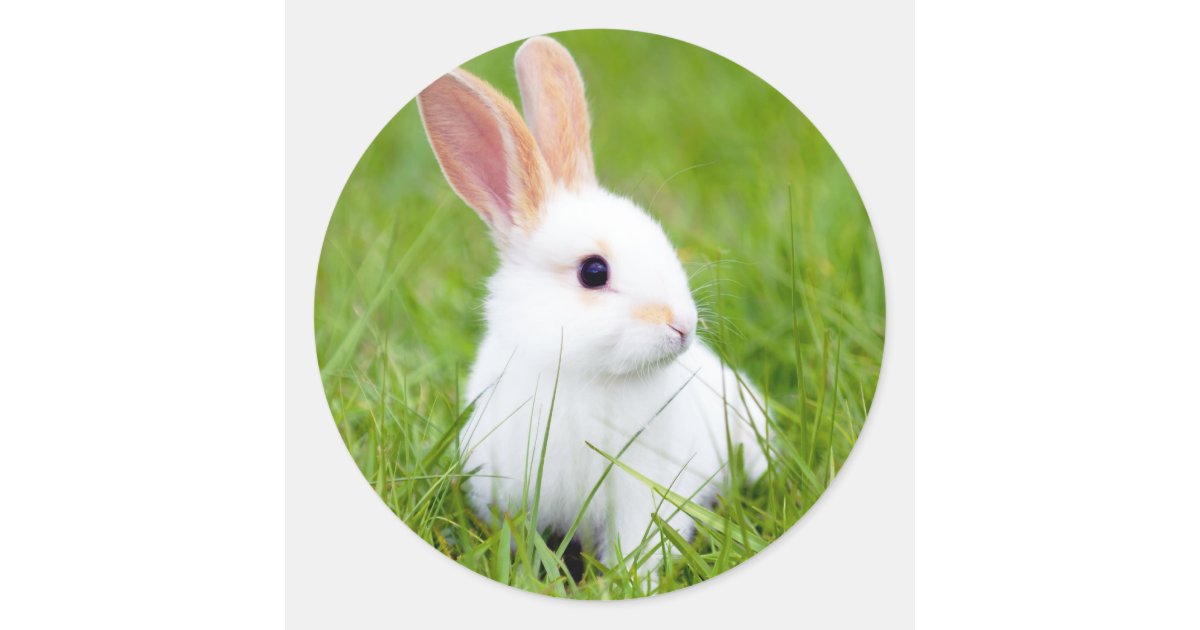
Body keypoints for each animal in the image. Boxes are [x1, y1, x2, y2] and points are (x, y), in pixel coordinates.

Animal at [417, 36, 769, 580]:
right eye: (594, 272)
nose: (683, 326)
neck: (582, 374)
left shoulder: (643, 490)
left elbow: (639, 542)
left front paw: (631, 582)